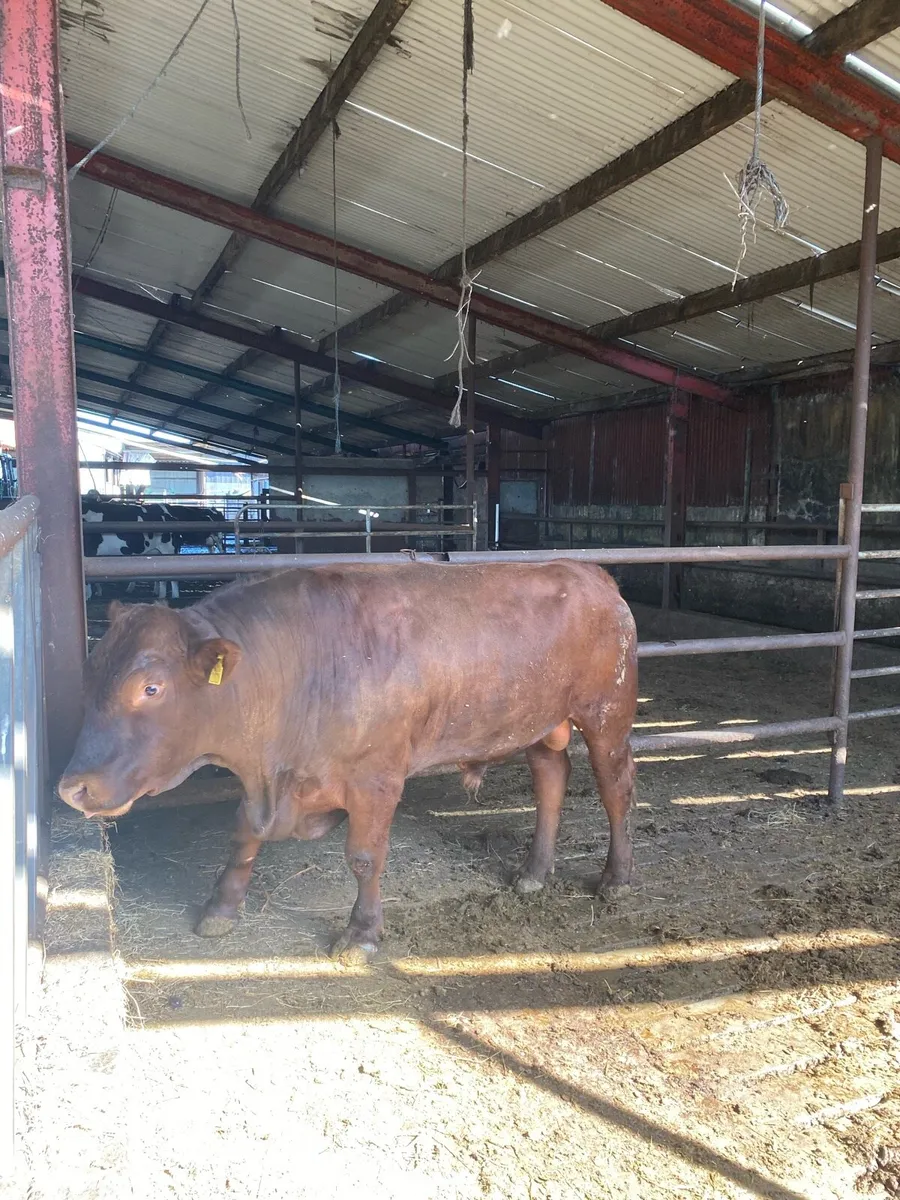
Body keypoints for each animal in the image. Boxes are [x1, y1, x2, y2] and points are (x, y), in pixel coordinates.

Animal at [57, 561, 638, 963]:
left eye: (150, 688)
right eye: (90, 672)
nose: (71, 788)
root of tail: (590, 573)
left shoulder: (376, 778)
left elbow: (363, 857)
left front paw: (361, 933)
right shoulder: (268, 785)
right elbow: (243, 834)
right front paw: (220, 908)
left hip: (607, 714)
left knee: (615, 787)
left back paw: (615, 878)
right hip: (541, 722)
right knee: (551, 778)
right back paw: (535, 872)